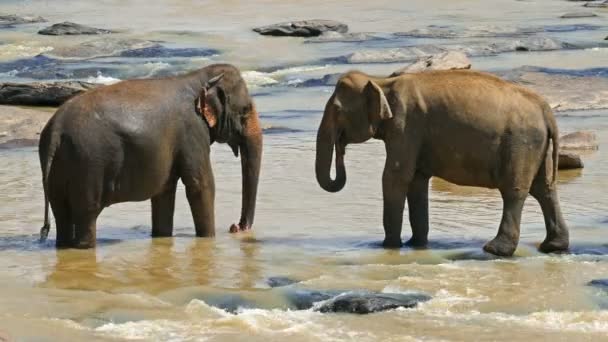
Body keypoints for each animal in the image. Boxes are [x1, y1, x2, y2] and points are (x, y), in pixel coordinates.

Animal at [39, 62, 262, 247]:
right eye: (245, 111)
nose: (235, 227)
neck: (198, 77)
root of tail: (56, 129)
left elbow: (164, 191)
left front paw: (162, 236)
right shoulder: (192, 132)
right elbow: (201, 185)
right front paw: (209, 239)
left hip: (59, 171)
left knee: (62, 215)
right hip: (88, 165)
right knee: (86, 214)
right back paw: (85, 247)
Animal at [316, 69, 568, 256]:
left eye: (337, 110)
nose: (341, 146)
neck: (382, 81)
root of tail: (546, 110)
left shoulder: (406, 125)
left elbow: (395, 176)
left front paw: (388, 246)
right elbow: (416, 181)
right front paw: (415, 244)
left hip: (521, 143)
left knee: (515, 191)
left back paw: (495, 250)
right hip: (536, 146)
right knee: (544, 189)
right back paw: (553, 247)